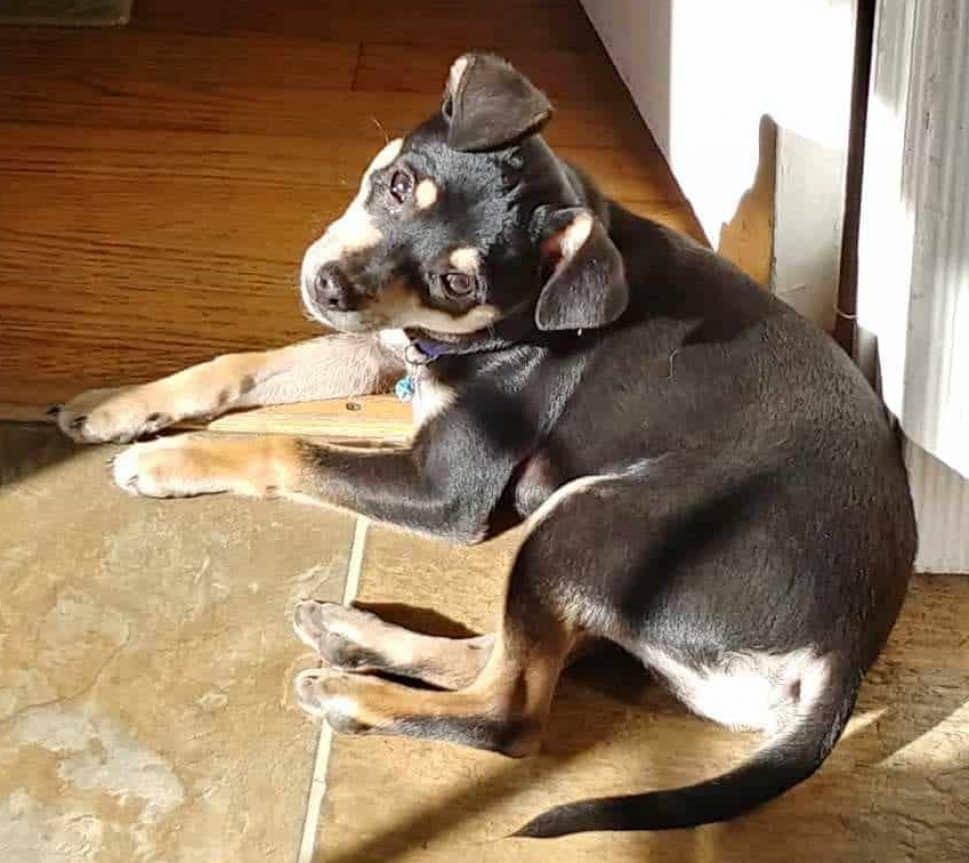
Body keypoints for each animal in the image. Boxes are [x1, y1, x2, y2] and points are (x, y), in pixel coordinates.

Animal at [56, 55, 920, 836]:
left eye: (457, 283)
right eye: (398, 184)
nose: (329, 286)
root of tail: (843, 654)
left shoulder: (443, 490)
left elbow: (288, 449)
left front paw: (161, 460)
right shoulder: (375, 347)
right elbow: (237, 367)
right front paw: (111, 407)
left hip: (585, 521)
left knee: (511, 712)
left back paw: (351, 691)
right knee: (506, 652)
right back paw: (354, 635)